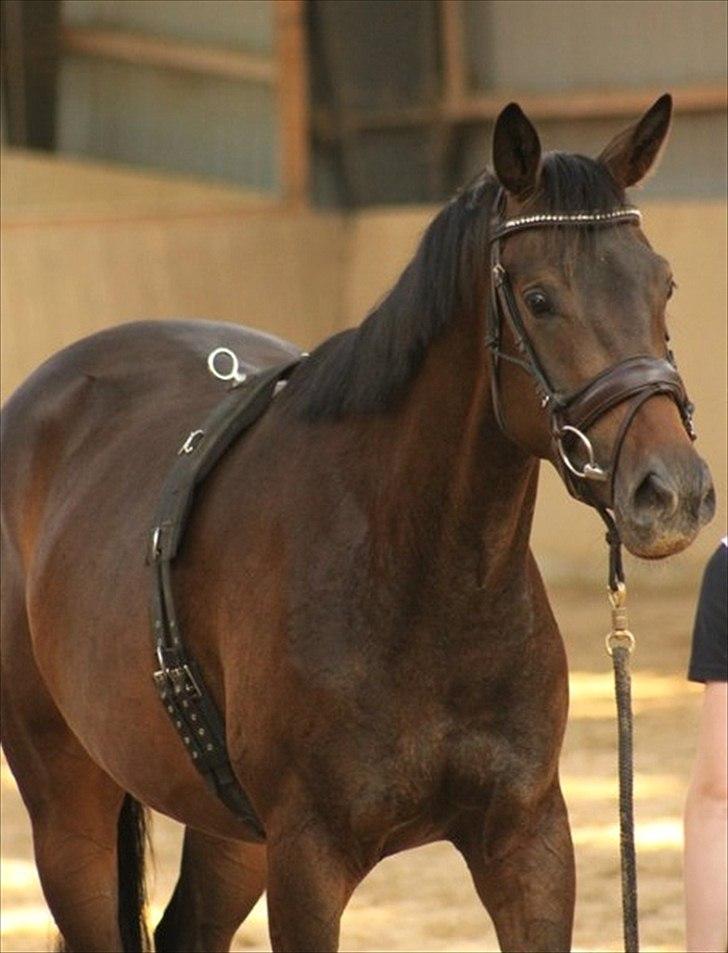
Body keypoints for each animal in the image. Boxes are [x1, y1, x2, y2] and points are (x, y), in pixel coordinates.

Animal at [0, 98, 716, 952]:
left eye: (665, 284)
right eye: (540, 298)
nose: (672, 491)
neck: (419, 576)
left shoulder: (530, 841)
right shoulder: (308, 860)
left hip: (232, 831)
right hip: (68, 809)